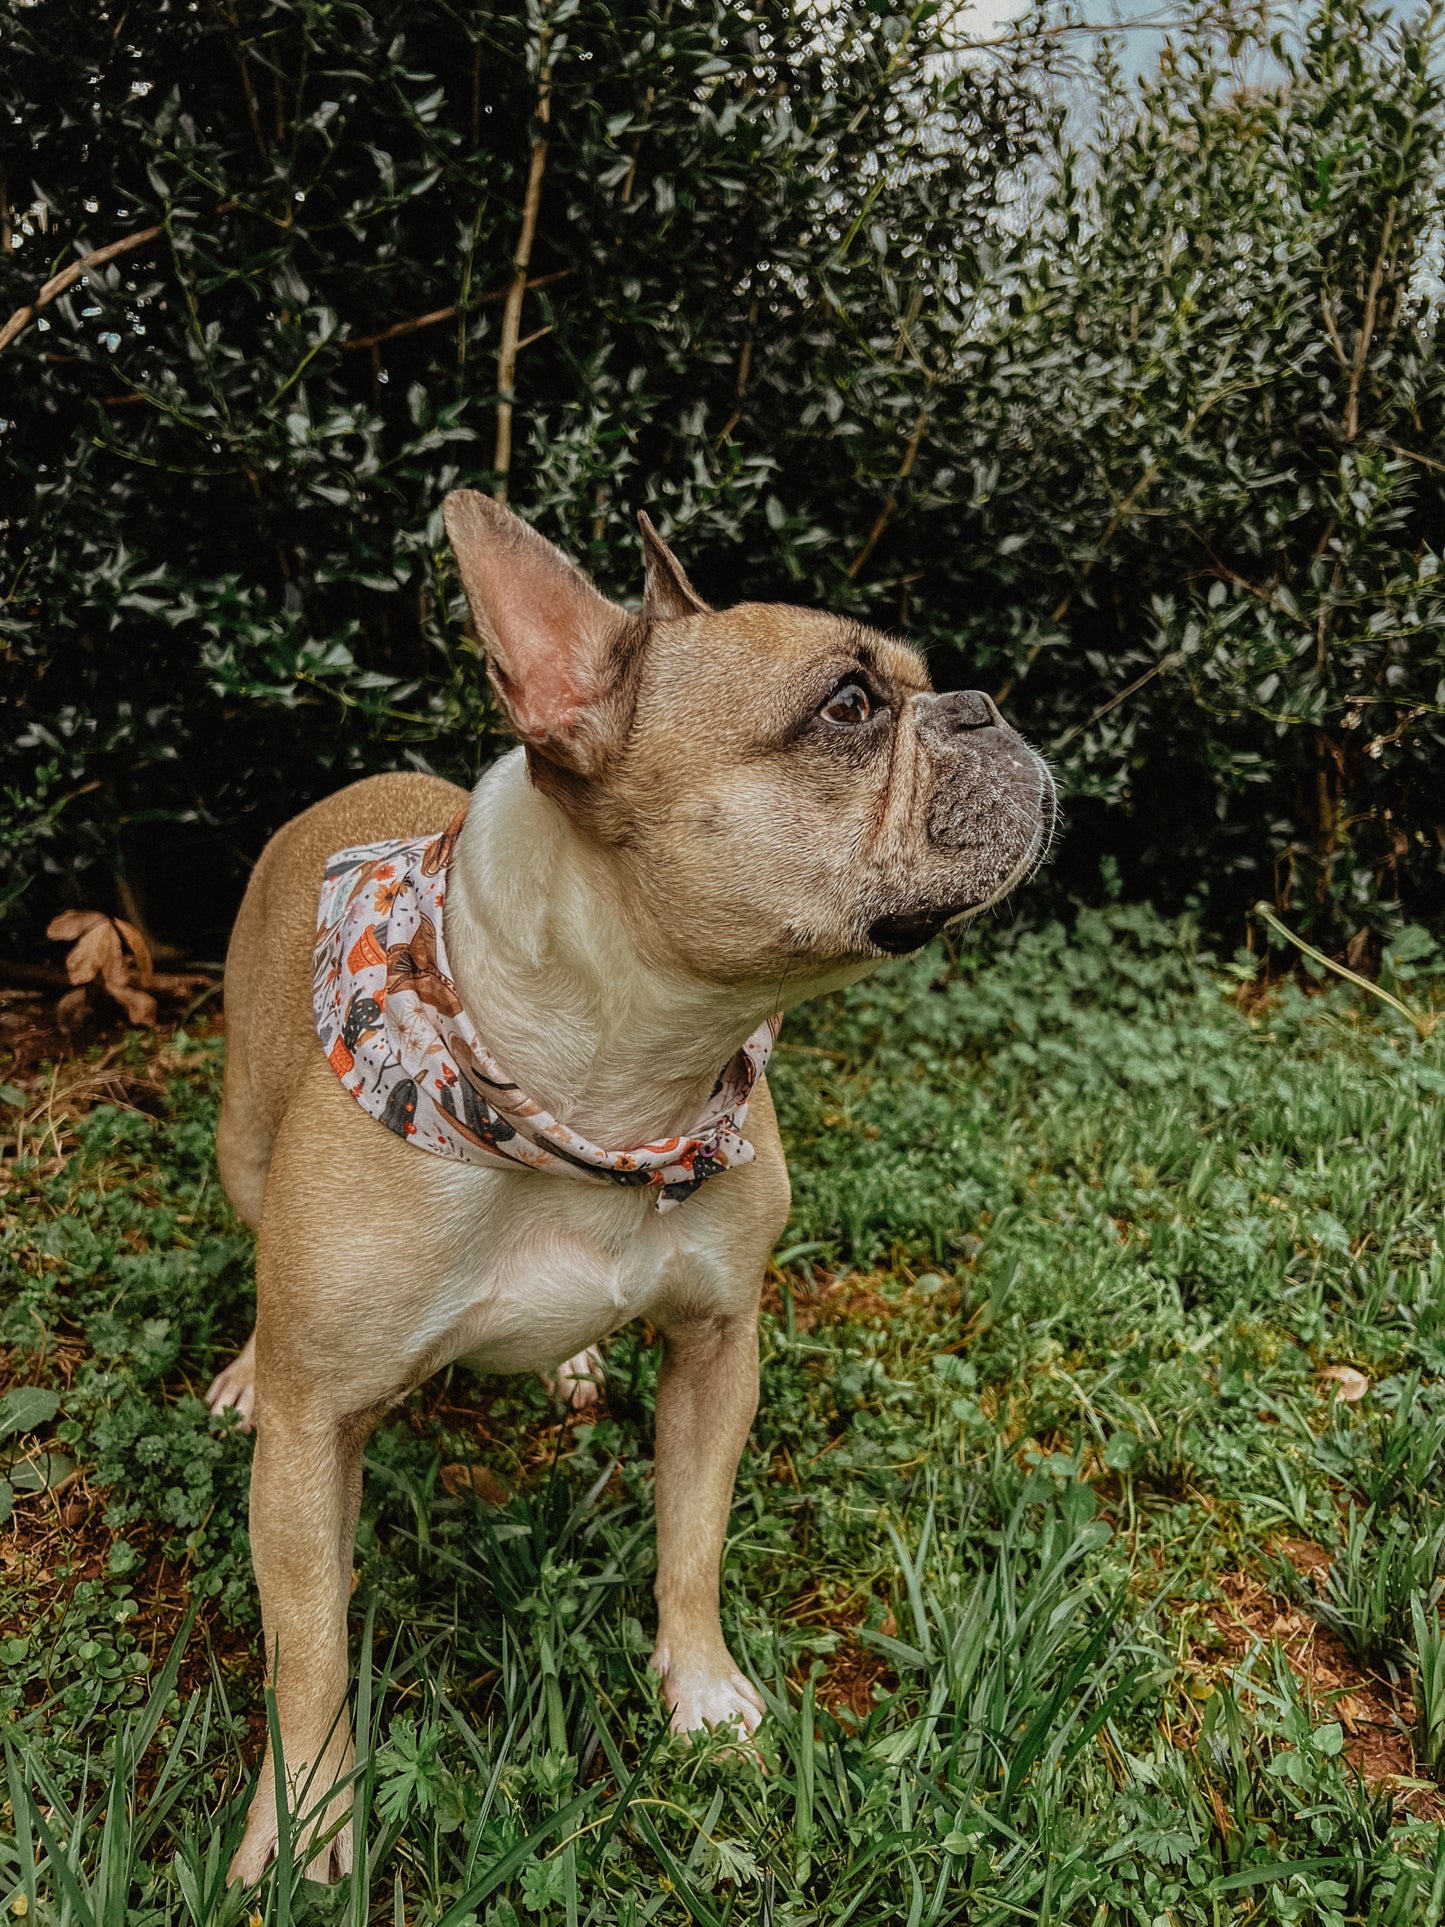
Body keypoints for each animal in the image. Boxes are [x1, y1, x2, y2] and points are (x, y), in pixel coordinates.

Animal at [209, 497, 1055, 1880]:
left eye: (926, 683)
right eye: (846, 707)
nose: (983, 705)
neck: (611, 1093)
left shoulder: (719, 1342)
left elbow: (690, 1542)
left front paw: (700, 1692)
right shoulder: (313, 1433)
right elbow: (310, 1649)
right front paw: (303, 1824)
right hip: (241, 1139)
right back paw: (239, 1367)